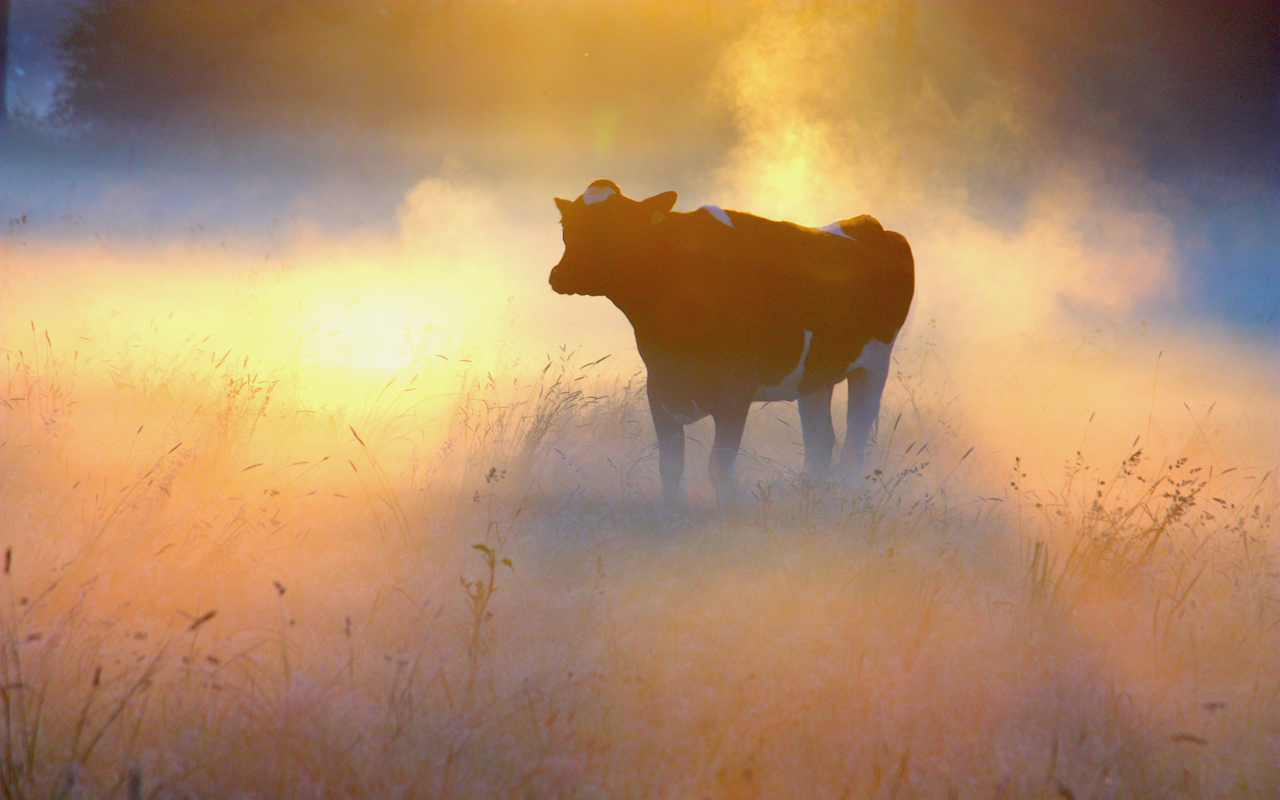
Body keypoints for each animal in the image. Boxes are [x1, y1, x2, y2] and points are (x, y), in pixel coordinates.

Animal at [547, 180, 911, 504]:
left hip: (874, 364)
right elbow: (671, 465)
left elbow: (719, 468)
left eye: (619, 225)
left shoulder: (736, 392)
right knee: (820, 444)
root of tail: (866, 223)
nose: (563, 275)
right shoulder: (659, 386)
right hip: (815, 376)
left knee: (854, 440)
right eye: (567, 224)